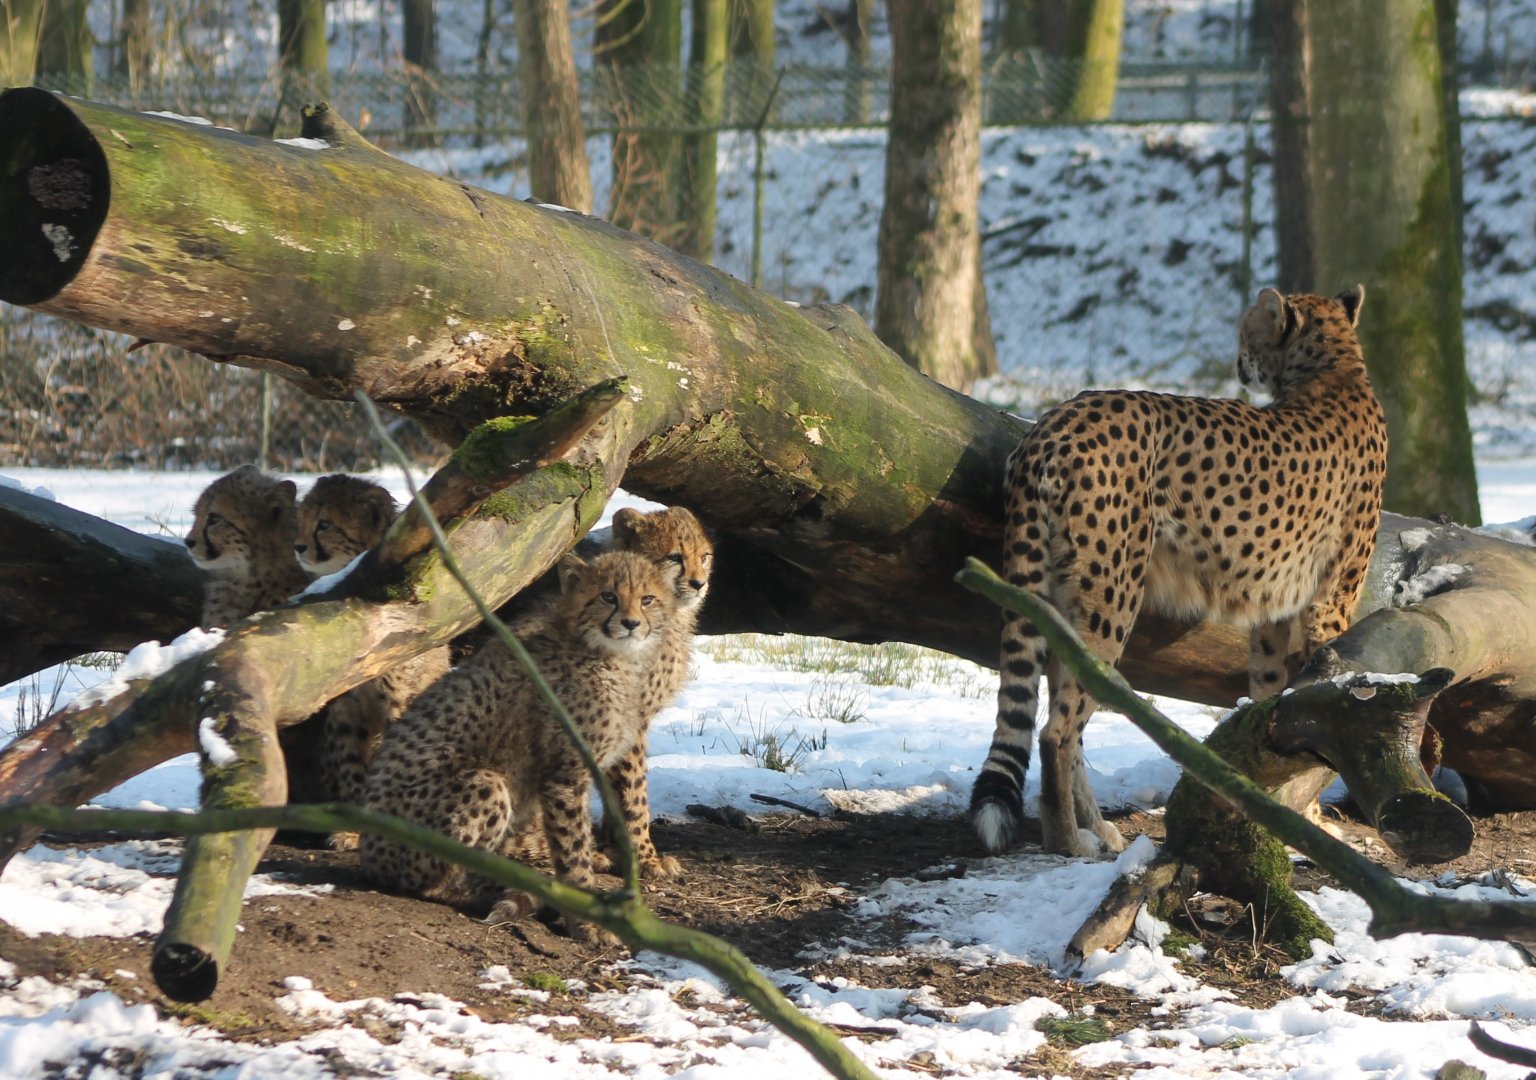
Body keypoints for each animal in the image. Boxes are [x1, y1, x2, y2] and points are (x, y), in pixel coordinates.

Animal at [293, 474, 451, 847]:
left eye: (324, 524)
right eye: (302, 520)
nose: (298, 546)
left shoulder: (400, 702)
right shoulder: (345, 708)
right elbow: (350, 762)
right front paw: (352, 827)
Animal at [358, 549, 678, 941]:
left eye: (647, 599)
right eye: (608, 596)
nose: (631, 623)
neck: (608, 654)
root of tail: (367, 853)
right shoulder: (564, 776)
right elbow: (573, 850)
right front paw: (586, 920)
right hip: (486, 783)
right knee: (435, 881)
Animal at [972, 285, 1387, 859]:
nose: (1237, 363)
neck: (1333, 367)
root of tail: (1056, 420)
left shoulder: (1276, 613)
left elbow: (1271, 695)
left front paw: (1274, 809)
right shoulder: (1331, 602)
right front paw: (1311, 819)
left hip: (1063, 593)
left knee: (1064, 708)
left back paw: (1095, 828)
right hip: (1112, 596)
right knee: (1058, 730)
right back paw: (1069, 843)